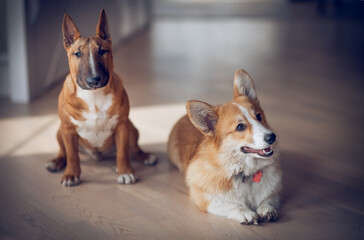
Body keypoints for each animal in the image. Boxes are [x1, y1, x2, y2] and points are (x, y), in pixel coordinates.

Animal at [45, 9, 156, 188]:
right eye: (77, 53)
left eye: (102, 51)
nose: (94, 80)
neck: (93, 96)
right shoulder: (68, 129)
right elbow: (72, 155)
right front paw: (71, 175)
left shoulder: (122, 126)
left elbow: (123, 152)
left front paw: (125, 172)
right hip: (60, 131)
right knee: (63, 151)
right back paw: (56, 162)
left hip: (131, 127)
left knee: (132, 148)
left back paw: (144, 157)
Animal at [167, 69, 282, 225]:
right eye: (240, 127)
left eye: (259, 116)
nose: (272, 137)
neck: (244, 173)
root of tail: (183, 117)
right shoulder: (205, 198)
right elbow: (229, 204)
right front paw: (245, 212)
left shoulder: (274, 193)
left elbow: (267, 199)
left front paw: (266, 209)